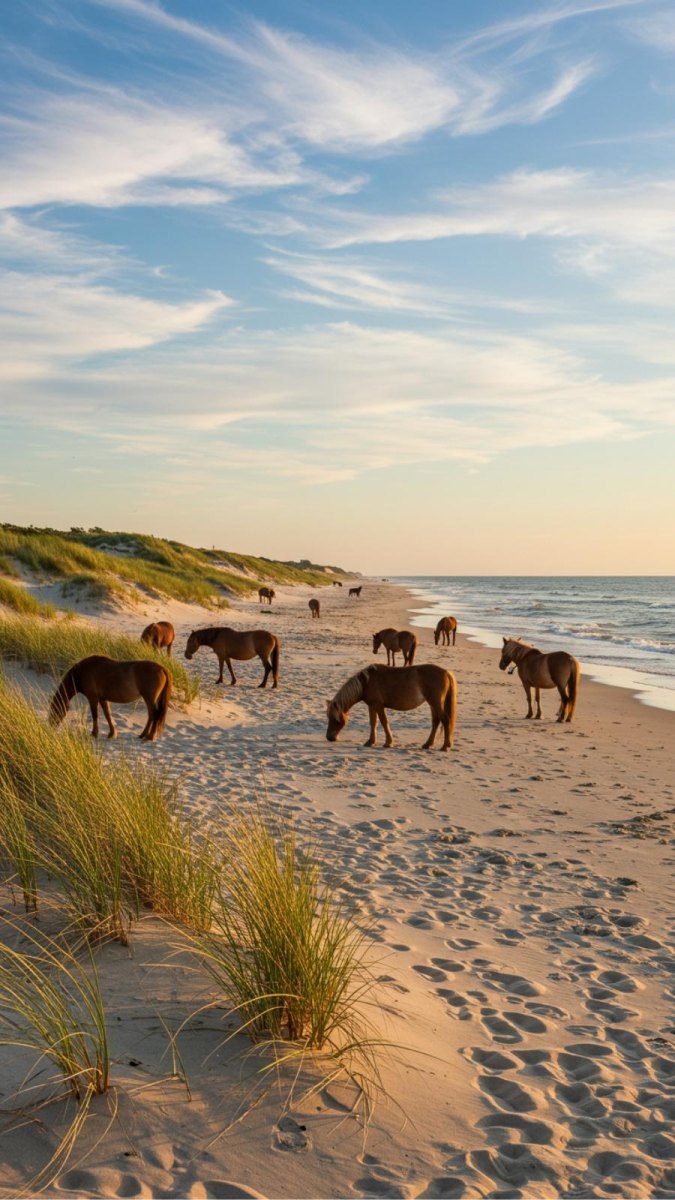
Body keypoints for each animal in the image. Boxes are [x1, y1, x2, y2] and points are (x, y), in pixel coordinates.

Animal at [326, 663, 456, 751]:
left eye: (335, 719)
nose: (329, 738)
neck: (366, 682)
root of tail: (446, 672)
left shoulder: (378, 705)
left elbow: (384, 722)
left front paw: (388, 742)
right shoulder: (372, 706)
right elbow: (373, 723)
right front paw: (370, 741)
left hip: (435, 703)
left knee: (445, 720)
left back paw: (445, 746)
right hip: (432, 704)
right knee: (436, 721)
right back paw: (428, 744)